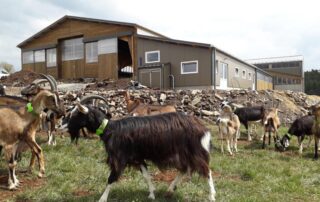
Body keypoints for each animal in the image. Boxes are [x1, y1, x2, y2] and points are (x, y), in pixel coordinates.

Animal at [67, 105, 218, 201]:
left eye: (76, 114)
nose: (66, 127)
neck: (110, 129)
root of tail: (203, 128)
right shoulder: (137, 157)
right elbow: (146, 175)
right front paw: (152, 194)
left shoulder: (120, 157)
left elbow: (111, 178)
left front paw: (102, 198)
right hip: (183, 153)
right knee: (184, 169)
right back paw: (169, 190)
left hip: (195, 150)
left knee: (206, 170)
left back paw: (212, 195)